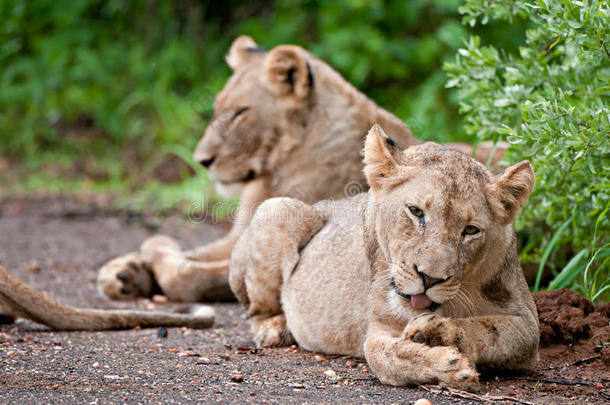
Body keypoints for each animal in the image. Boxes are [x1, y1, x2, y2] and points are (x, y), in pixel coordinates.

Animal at [229, 124, 536, 390]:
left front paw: (437, 333)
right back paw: (275, 329)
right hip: (276, 207)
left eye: (471, 230)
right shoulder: (378, 328)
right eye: (415, 211)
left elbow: (485, 329)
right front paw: (448, 365)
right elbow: (385, 357)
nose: (429, 278)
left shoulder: (526, 322)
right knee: (256, 311)